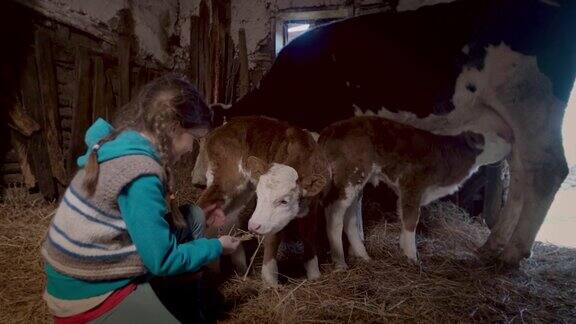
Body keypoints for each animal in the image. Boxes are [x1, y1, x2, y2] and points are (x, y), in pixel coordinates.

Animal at [197, 115, 328, 284]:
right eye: (259, 196)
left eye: (284, 201)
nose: (253, 226)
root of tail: (220, 129)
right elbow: (273, 238)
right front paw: (270, 280)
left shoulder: (313, 205)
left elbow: (309, 236)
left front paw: (314, 275)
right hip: (226, 181)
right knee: (203, 206)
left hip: (242, 192)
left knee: (227, 219)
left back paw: (238, 267)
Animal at [320, 115, 512, 268]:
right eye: (493, 139)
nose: (510, 144)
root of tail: (330, 130)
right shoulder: (412, 185)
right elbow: (412, 220)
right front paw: (412, 257)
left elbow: (404, 217)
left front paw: (403, 249)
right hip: (350, 175)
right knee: (335, 214)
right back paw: (340, 263)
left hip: (356, 181)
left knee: (349, 217)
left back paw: (364, 256)